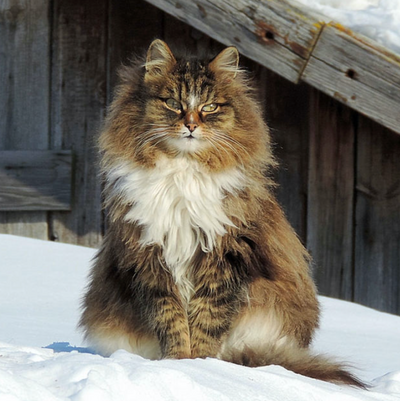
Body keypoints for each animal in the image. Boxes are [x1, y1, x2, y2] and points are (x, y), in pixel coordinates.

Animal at [79, 39, 364, 386]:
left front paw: (201, 365)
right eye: (173, 103)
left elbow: (207, 319)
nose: (190, 125)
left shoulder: (227, 254)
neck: (183, 171)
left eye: (210, 107)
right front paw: (177, 363)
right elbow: (171, 319)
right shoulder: (148, 255)